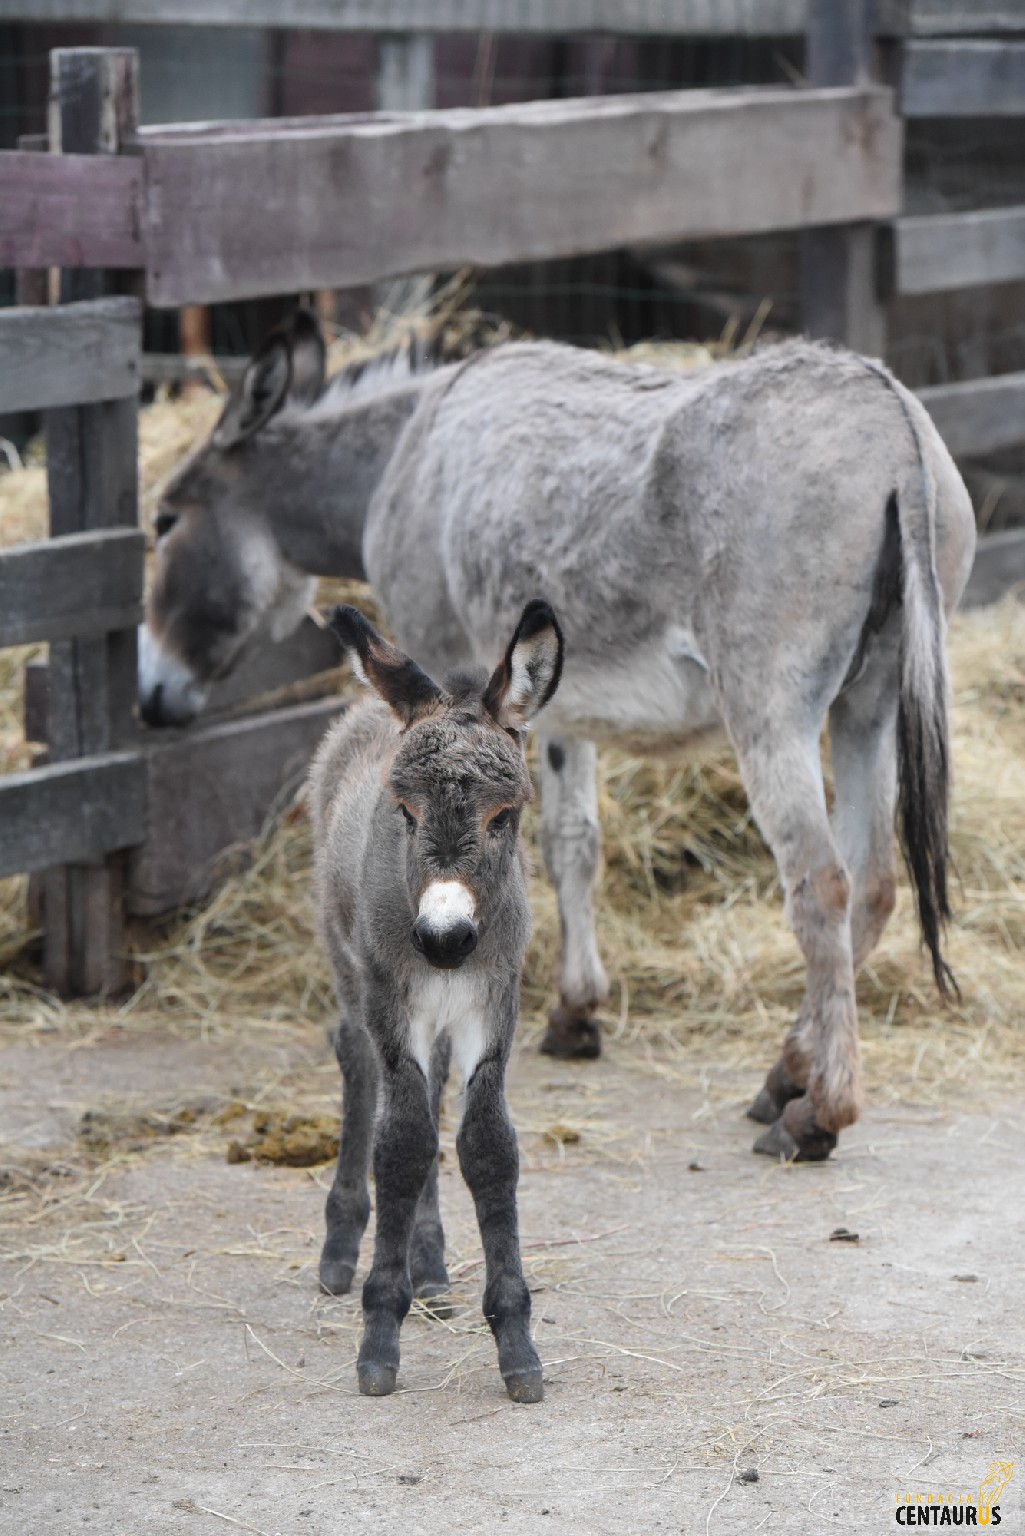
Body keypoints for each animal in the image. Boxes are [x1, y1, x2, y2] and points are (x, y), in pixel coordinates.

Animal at [313, 599, 565, 1406]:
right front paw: (377, 1339)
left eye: (503, 817)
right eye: (403, 811)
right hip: (347, 962)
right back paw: (342, 1247)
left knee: (430, 1096)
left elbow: (484, 1148)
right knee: (359, 1063)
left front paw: (516, 1344)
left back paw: (428, 1270)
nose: (445, 937)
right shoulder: (394, 1000)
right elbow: (400, 1147)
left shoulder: (491, 1005)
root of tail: (376, 702)